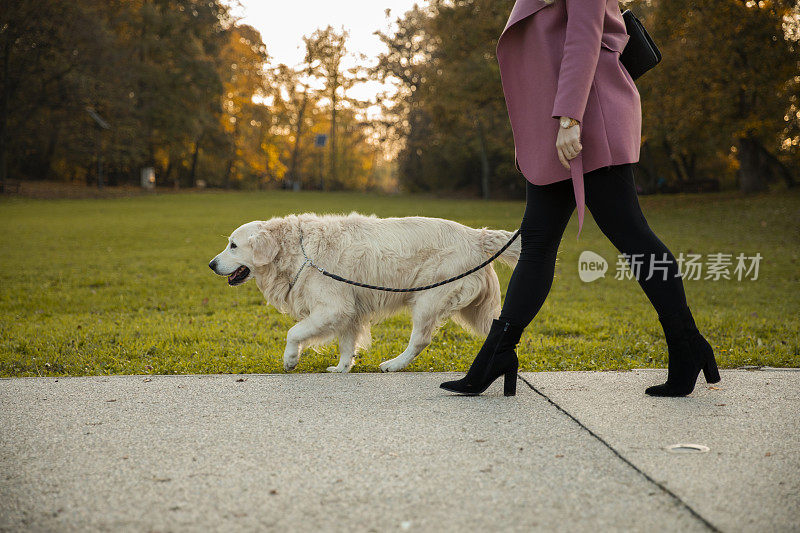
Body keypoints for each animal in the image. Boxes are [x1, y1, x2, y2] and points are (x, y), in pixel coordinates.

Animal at [208, 213, 520, 374]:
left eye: (233, 246)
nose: (211, 265)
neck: (299, 251)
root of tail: (476, 234)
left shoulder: (333, 308)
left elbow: (293, 332)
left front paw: (290, 359)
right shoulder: (349, 311)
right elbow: (347, 344)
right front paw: (342, 368)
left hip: (429, 298)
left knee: (420, 340)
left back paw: (394, 364)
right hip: (471, 307)